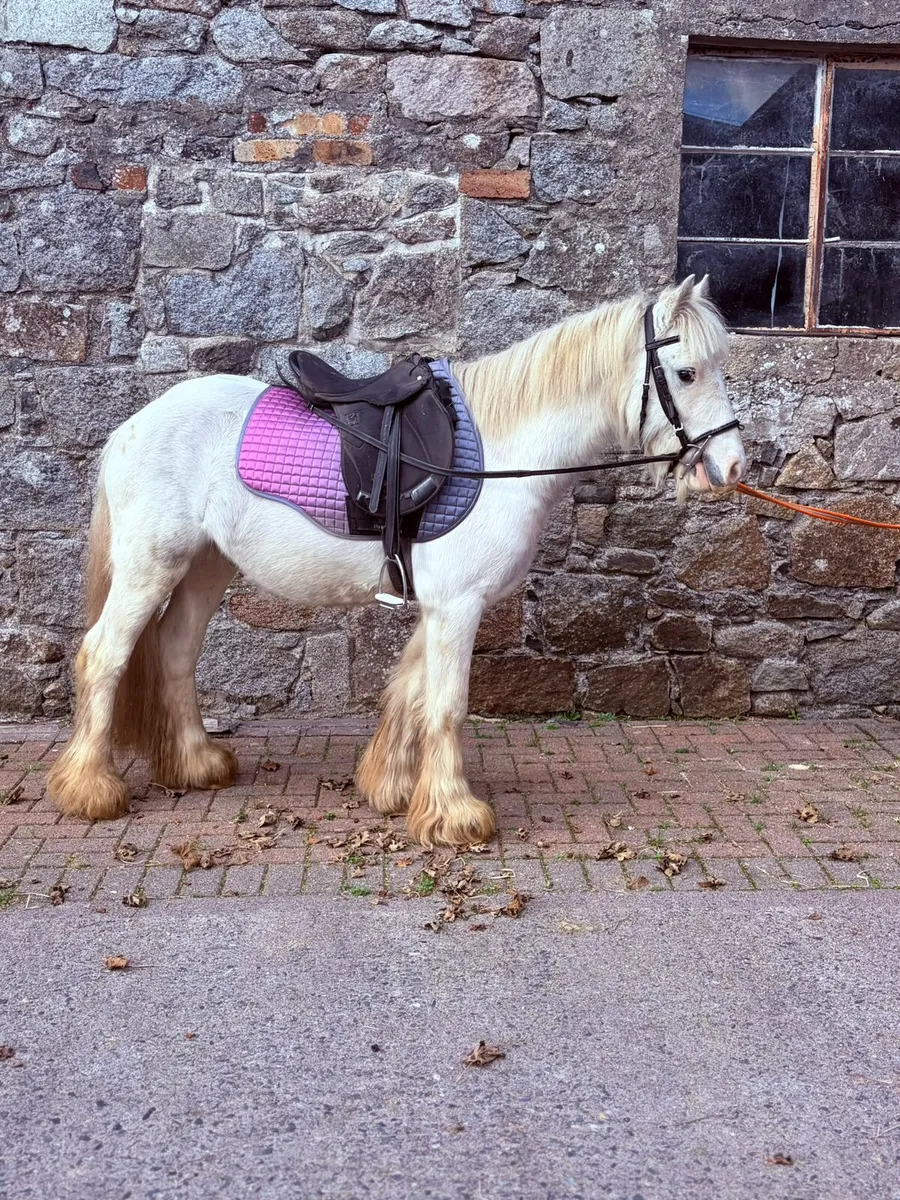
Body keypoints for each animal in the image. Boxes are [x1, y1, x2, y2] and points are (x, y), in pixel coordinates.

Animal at [47, 274, 746, 848]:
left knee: (174, 653)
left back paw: (196, 765)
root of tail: (132, 426)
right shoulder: (458, 606)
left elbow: (411, 690)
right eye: (687, 373)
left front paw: (393, 788)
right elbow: (447, 704)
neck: (501, 453)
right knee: (104, 655)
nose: (732, 466)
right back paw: (90, 789)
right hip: (152, 567)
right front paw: (455, 816)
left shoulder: (440, 607)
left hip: (205, 569)